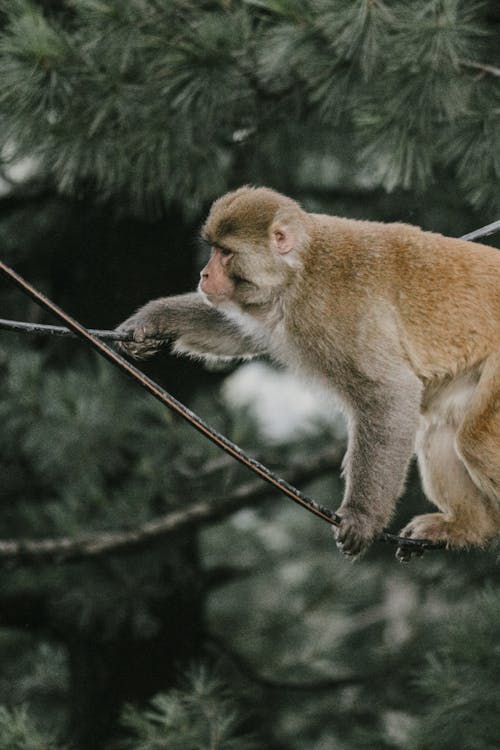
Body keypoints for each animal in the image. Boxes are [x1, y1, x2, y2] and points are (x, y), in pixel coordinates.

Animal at [118, 187, 500, 564]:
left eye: (225, 253)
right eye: (213, 250)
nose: (204, 275)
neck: (301, 268)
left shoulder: (336, 311)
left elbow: (390, 392)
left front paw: (362, 516)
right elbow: (236, 331)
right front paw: (152, 321)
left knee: (475, 441)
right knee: (442, 431)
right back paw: (467, 527)